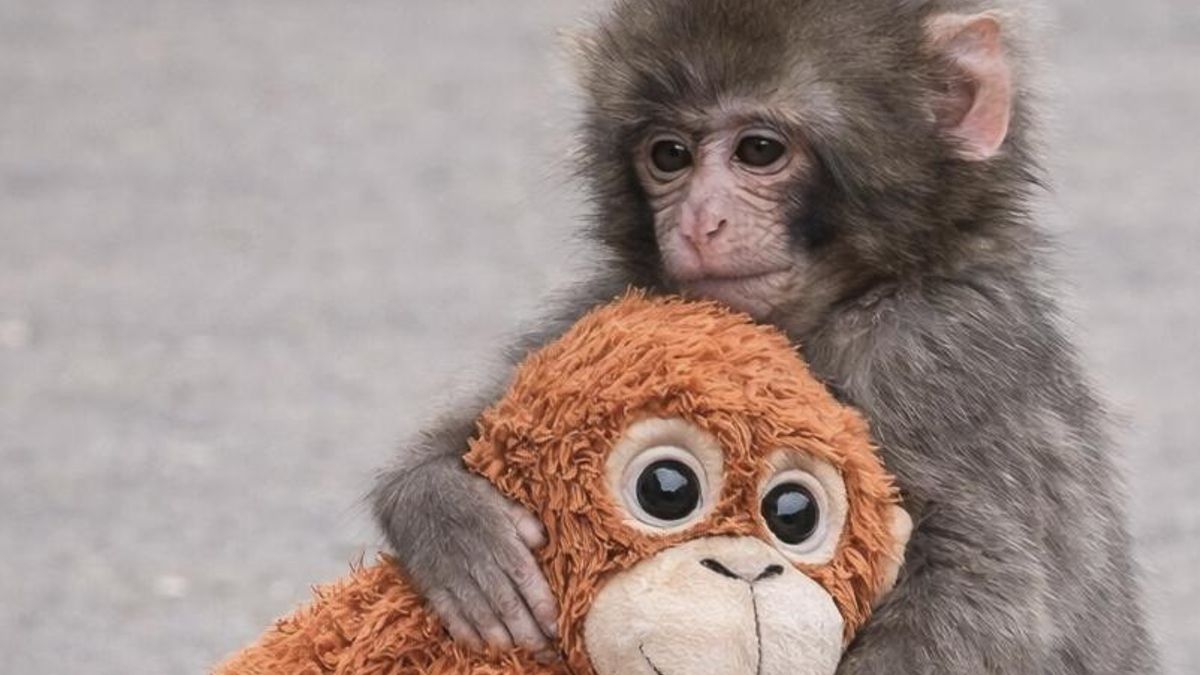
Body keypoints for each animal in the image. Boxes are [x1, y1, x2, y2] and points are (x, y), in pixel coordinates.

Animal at [372, 0, 1158, 672]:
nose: (698, 222)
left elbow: (985, 593)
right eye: (669, 155)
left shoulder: (934, 351)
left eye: (758, 150)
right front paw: (452, 521)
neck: (838, 302)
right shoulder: (619, 303)